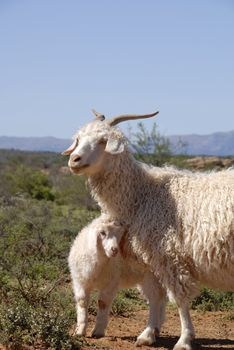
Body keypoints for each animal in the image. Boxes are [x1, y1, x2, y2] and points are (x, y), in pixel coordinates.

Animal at [62, 110, 234, 350]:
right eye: (78, 139)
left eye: (103, 140)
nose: (74, 160)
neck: (142, 195)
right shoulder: (152, 260)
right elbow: (155, 296)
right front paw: (148, 334)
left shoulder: (169, 255)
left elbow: (179, 299)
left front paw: (184, 339)